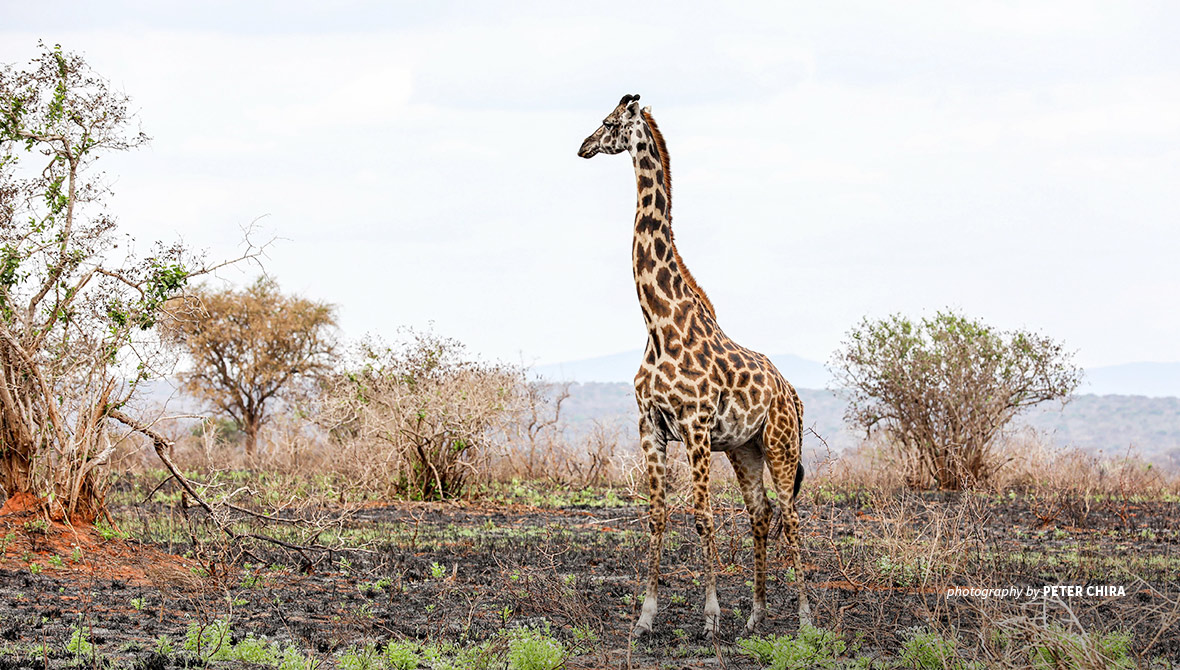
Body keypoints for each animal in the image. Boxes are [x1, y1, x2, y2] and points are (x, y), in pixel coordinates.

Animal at [578, 93, 811, 632]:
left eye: (608, 122)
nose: (583, 146)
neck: (658, 322)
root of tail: (791, 393)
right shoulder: (650, 425)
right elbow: (657, 514)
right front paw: (646, 617)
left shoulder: (696, 426)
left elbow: (703, 516)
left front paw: (709, 617)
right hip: (745, 448)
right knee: (760, 511)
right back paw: (757, 614)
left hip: (781, 443)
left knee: (790, 513)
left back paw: (806, 617)